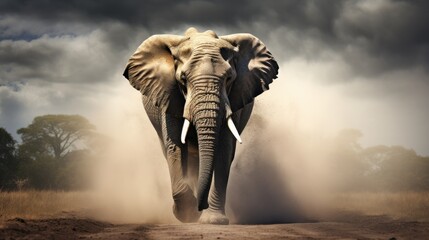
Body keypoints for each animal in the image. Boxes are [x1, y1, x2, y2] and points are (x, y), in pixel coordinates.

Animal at [123, 27, 278, 224]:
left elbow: (224, 150)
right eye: (182, 79)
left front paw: (213, 221)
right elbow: (175, 147)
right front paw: (187, 214)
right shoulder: (169, 95)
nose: (201, 206)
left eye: (229, 78)